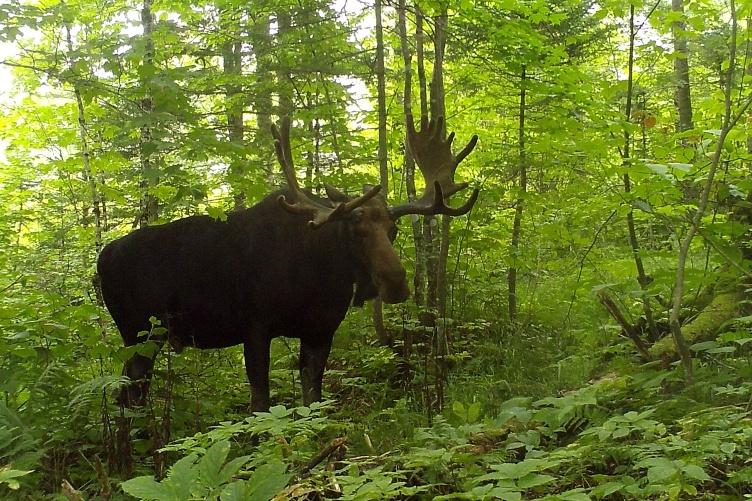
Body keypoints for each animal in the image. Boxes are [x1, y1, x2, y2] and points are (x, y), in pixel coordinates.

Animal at [97, 115, 478, 412]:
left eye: (393, 230)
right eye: (354, 229)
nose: (396, 282)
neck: (321, 278)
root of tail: (101, 258)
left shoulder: (321, 331)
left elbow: (314, 399)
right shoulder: (255, 326)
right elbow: (260, 404)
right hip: (137, 331)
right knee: (129, 393)